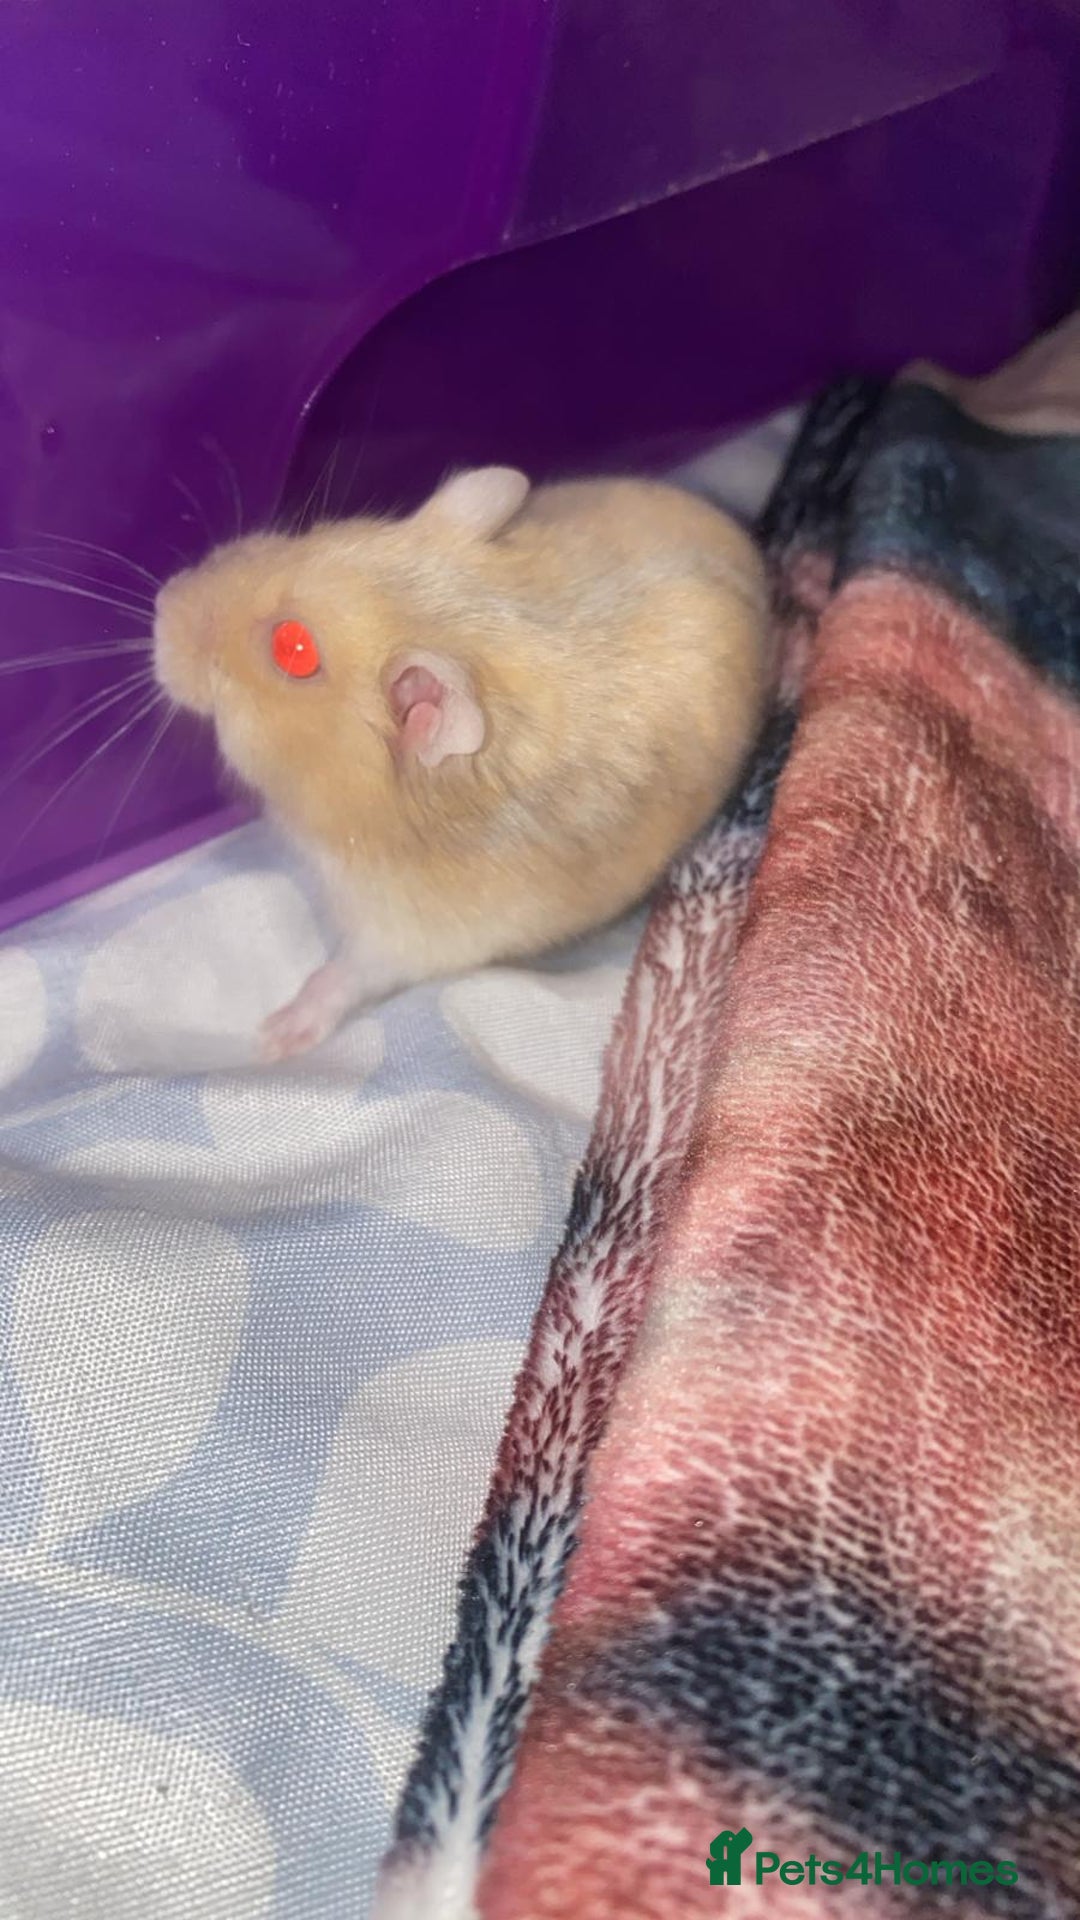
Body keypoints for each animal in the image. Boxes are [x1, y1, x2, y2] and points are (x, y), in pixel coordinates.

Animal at [153, 466, 769, 1060]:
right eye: (318, 534)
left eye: (294, 649)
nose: (161, 603)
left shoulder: (404, 933)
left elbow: (346, 975)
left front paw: (273, 1037)